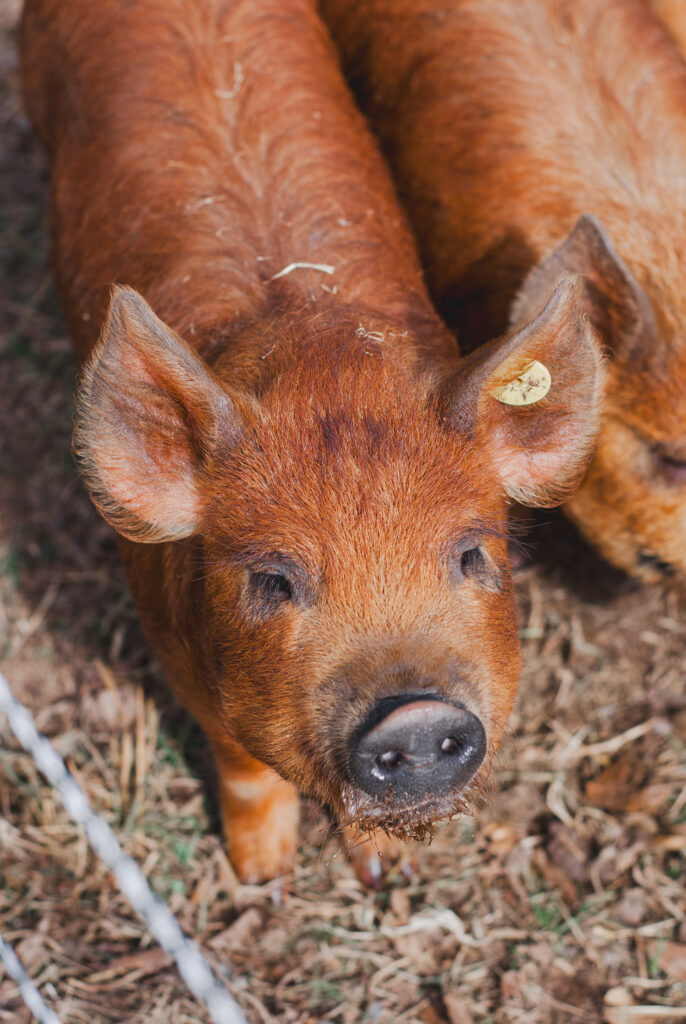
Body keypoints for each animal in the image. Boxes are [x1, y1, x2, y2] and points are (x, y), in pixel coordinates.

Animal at [18, 0, 606, 880]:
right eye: (272, 579)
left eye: (473, 554)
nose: (415, 717)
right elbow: (241, 762)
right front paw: (261, 874)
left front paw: (385, 872)